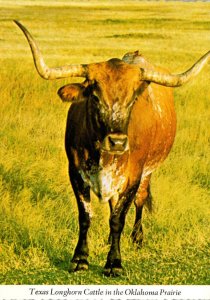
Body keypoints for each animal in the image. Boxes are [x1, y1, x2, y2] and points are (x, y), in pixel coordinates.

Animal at [13, 19, 209, 276]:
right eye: (95, 97)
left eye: (133, 99)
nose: (117, 141)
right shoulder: (75, 172)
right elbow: (86, 216)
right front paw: (80, 258)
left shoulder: (134, 176)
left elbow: (118, 219)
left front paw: (114, 263)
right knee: (112, 204)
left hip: (147, 171)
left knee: (138, 202)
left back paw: (136, 238)